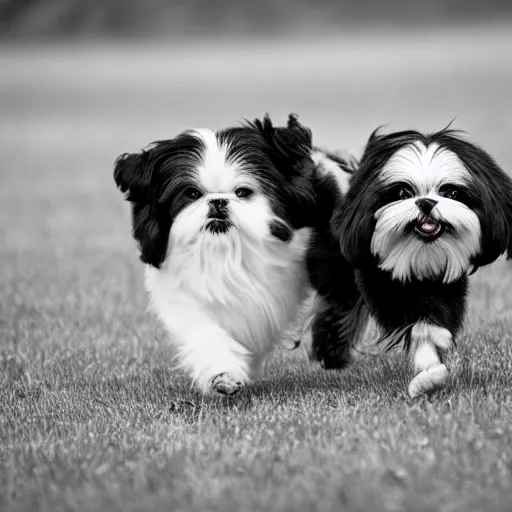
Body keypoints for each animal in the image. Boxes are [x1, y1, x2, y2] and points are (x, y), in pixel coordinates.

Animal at [114, 115, 346, 396]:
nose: (217, 201)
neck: (225, 253)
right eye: (192, 193)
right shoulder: (182, 296)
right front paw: (223, 374)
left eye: (243, 192)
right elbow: (207, 335)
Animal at [308, 129, 512, 400]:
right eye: (403, 193)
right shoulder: (382, 285)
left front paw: (431, 366)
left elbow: (434, 317)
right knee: (339, 304)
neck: (420, 254)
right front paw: (428, 373)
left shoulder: (446, 284)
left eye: (451, 193)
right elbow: (417, 322)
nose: (426, 202)